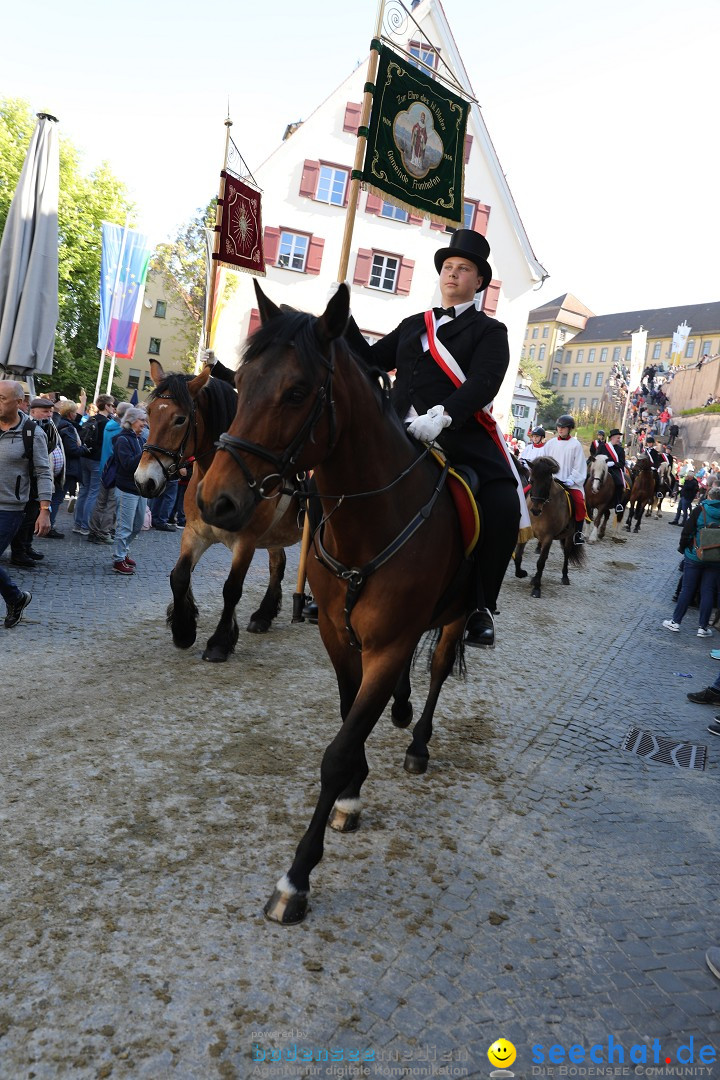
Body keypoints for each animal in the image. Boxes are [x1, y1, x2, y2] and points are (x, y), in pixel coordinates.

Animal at [134, 362, 302, 660]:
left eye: (180, 419)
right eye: (150, 414)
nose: (145, 481)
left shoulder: (245, 542)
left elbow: (232, 589)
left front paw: (220, 642)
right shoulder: (195, 533)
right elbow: (179, 577)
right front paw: (183, 629)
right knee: (277, 566)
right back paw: (264, 614)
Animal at [197, 285, 490, 920]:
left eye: (297, 391)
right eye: (243, 378)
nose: (215, 501)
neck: (370, 520)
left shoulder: (387, 645)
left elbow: (338, 748)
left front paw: (297, 877)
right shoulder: (337, 636)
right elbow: (347, 720)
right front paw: (354, 792)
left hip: (456, 617)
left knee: (436, 669)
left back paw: (418, 741)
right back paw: (401, 712)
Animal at [511, 455, 587, 600]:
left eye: (547, 483)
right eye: (531, 481)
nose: (535, 510)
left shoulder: (548, 537)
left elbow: (540, 563)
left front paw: (537, 588)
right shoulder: (526, 532)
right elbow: (518, 555)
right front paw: (521, 573)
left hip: (569, 536)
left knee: (566, 553)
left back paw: (564, 577)